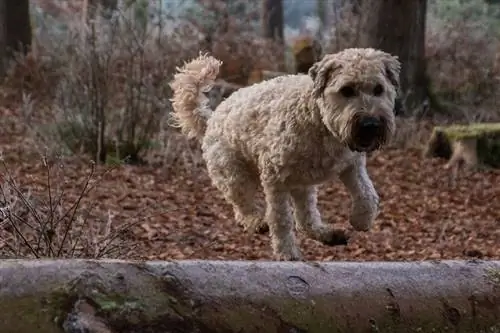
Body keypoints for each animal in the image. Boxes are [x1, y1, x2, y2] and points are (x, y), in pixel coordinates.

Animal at [170, 47, 400, 260]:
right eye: (347, 90)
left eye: (379, 89)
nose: (370, 124)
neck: (318, 119)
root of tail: (211, 119)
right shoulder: (275, 178)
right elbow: (281, 219)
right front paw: (287, 252)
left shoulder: (351, 165)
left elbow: (367, 193)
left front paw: (361, 220)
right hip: (234, 174)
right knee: (243, 206)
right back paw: (256, 222)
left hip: (302, 184)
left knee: (305, 219)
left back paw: (328, 234)